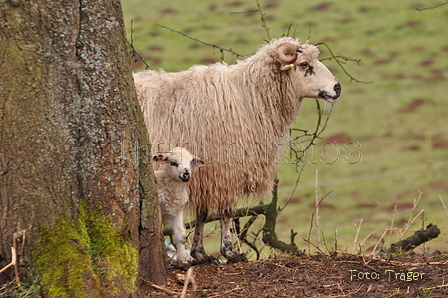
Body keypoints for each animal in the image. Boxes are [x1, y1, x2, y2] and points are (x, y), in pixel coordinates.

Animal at [135, 36, 342, 264]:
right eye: (304, 64)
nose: (337, 88)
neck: (249, 96)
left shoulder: (206, 175)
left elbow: (203, 213)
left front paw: (200, 252)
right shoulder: (225, 170)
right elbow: (226, 212)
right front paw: (229, 251)